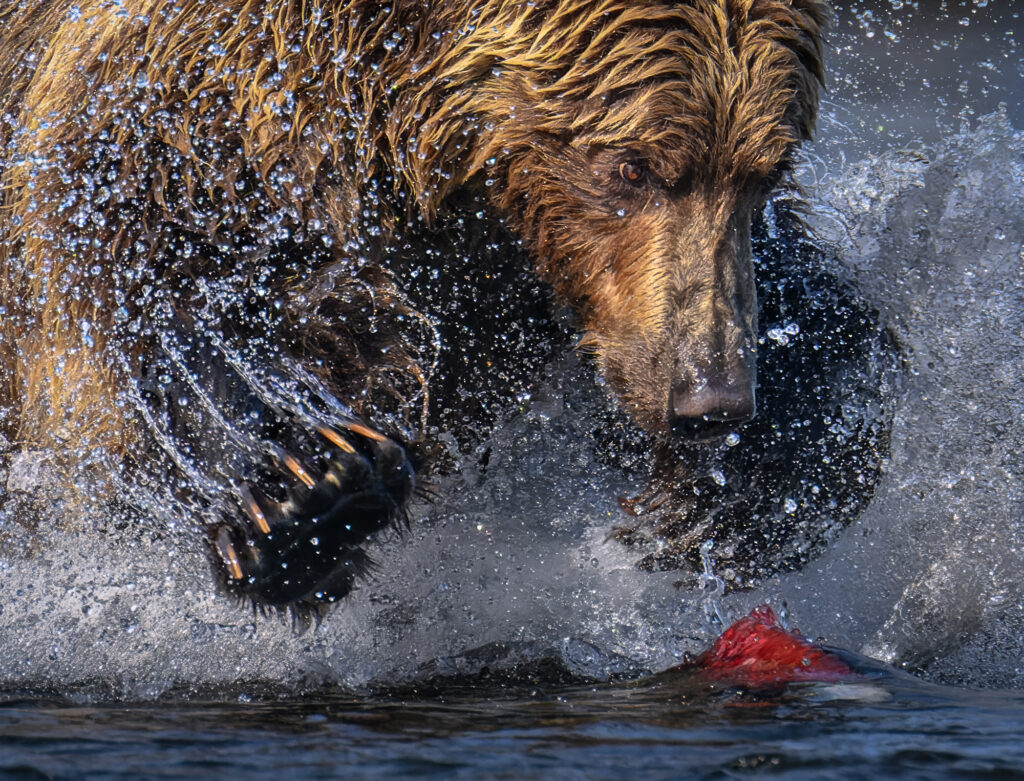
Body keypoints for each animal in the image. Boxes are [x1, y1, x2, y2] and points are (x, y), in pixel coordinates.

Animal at [0, 0, 884, 614]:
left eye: (765, 170)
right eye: (630, 167)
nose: (710, 399)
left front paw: (747, 489)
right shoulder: (183, 122)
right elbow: (142, 314)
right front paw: (301, 484)